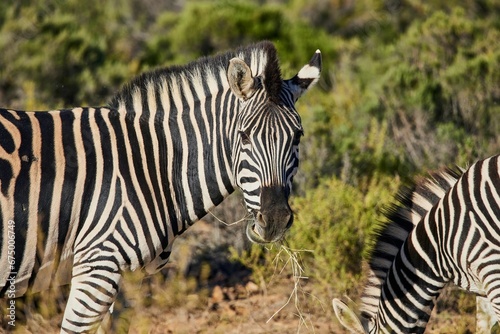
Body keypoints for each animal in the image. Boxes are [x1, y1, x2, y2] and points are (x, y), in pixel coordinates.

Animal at [0, 42, 322, 334]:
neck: (153, 162)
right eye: (244, 136)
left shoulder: (127, 278)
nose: (276, 219)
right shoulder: (97, 266)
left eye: (297, 136)